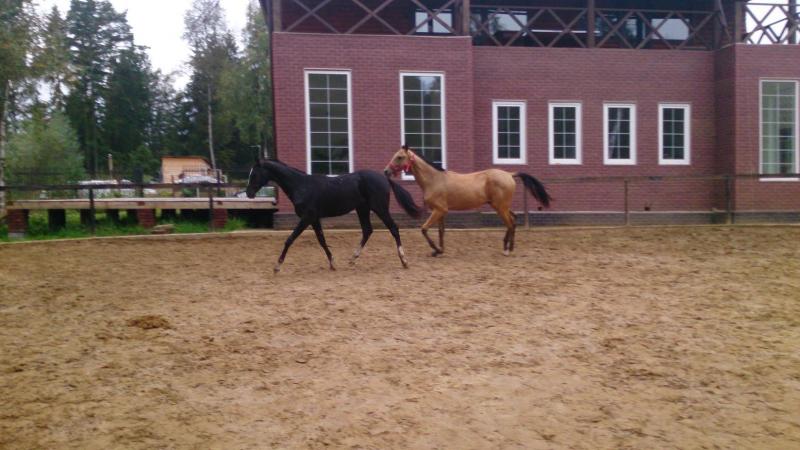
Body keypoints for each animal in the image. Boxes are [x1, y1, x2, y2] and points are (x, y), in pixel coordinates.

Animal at [246, 159, 422, 273]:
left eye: (254, 174)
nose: (248, 193)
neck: (301, 186)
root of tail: (384, 178)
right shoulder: (314, 219)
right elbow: (322, 240)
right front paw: (332, 263)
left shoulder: (307, 217)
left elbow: (290, 239)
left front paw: (277, 265)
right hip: (362, 209)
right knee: (367, 230)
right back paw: (352, 258)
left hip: (379, 208)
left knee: (393, 228)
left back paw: (404, 260)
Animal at [384, 145, 551, 256]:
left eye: (399, 157)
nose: (386, 171)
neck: (434, 180)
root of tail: (509, 174)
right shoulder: (440, 211)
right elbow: (441, 231)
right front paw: (440, 251)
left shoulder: (439, 210)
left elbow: (424, 229)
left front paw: (436, 249)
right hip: (500, 206)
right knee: (514, 220)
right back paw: (510, 247)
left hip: (500, 207)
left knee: (510, 223)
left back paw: (506, 250)